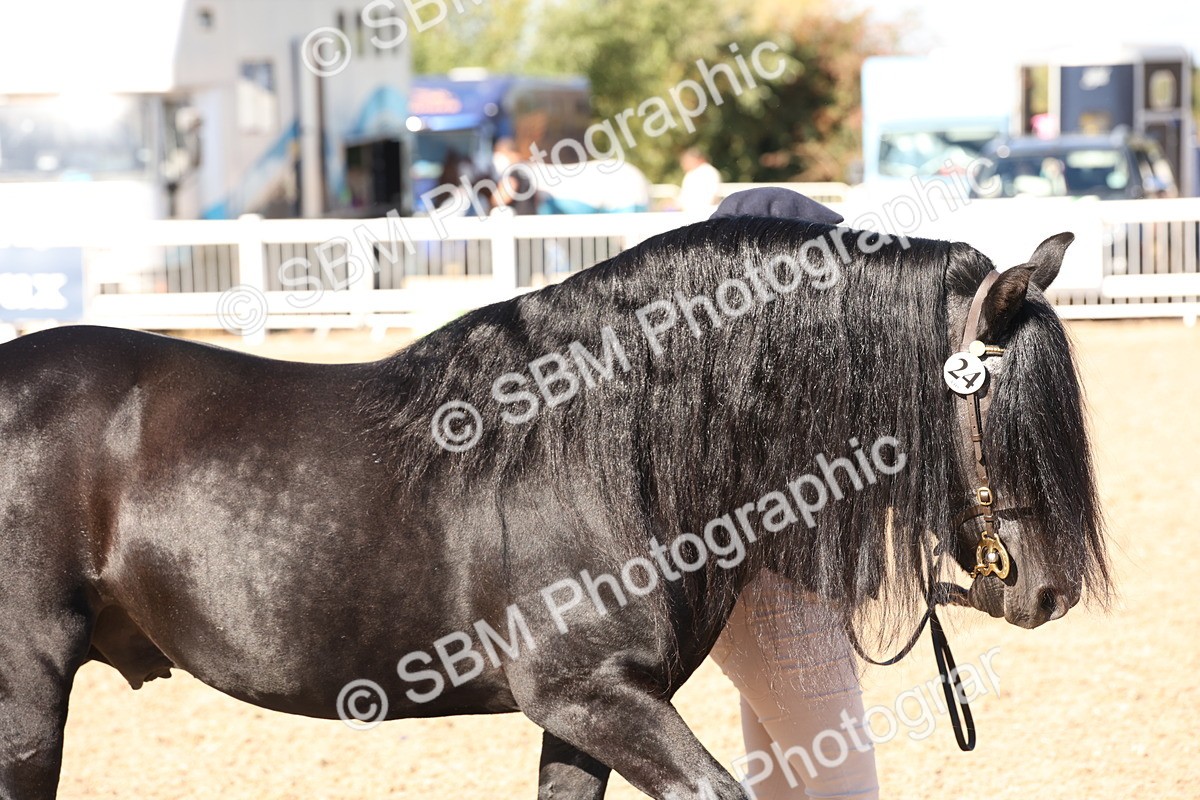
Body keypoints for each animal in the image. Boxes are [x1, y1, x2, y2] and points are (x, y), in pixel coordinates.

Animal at [0, 217, 1109, 799]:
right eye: (1006, 416)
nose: (1046, 591)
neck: (609, 451)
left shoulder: (587, 713)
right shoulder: (592, 696)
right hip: (27, 691)